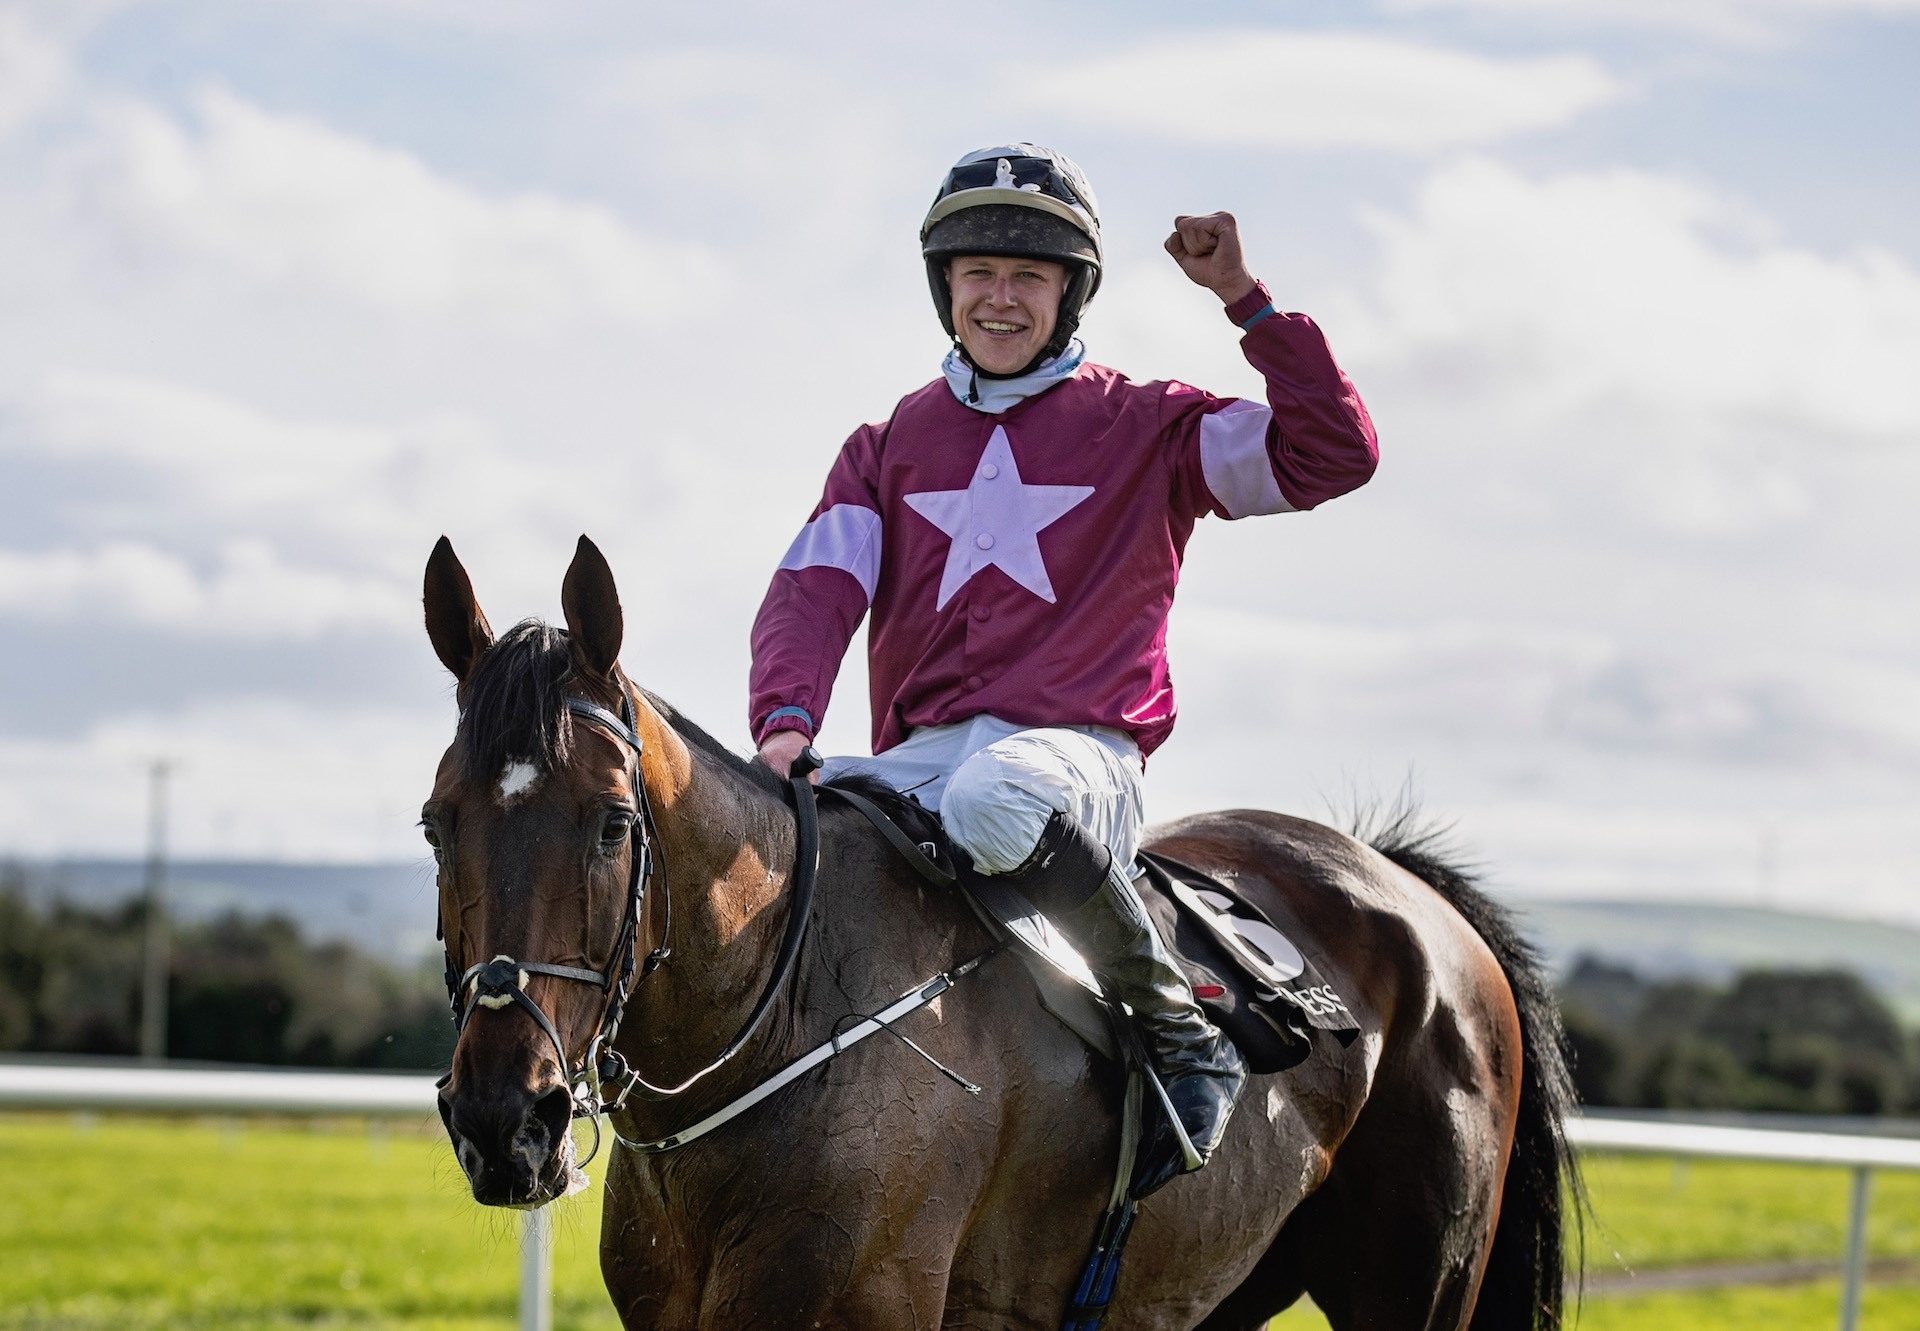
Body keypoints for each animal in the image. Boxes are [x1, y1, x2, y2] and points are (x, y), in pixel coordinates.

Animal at [420, 533, 1574, 1329]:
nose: (502, 1119)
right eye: (439, 820)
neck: (789, 1012)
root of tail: (1400, 879)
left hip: (1416, 1286)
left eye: (613, 822)